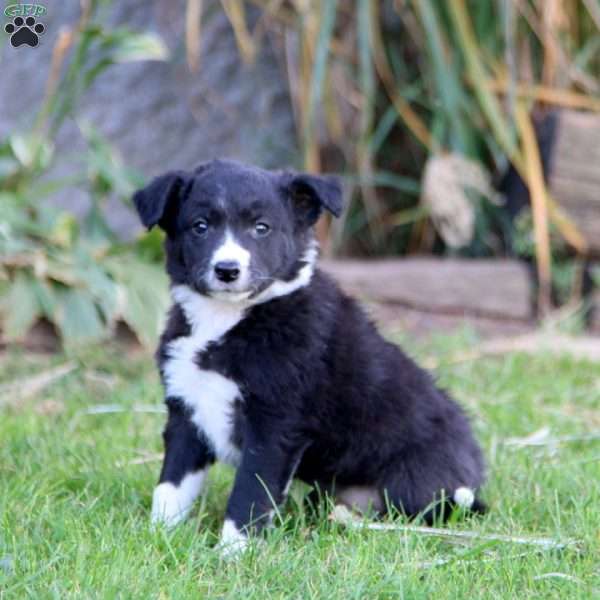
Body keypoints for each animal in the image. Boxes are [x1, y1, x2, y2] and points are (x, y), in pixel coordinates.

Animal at [134, 158, 486, 552]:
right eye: (200, 226)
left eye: (261, 228)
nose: (227, 270)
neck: (227, 319)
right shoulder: (186, 409)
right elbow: (171, 486)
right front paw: (158, 536)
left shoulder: (274, 425)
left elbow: (249, 494)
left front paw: (233, 552)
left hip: (414, 483)